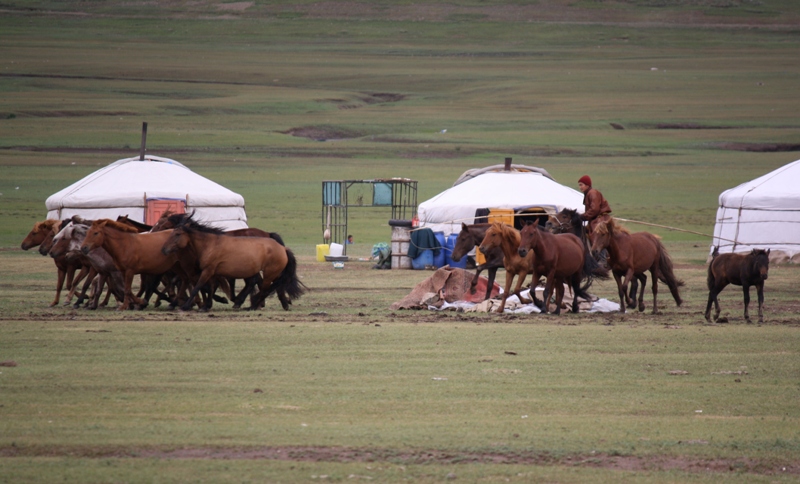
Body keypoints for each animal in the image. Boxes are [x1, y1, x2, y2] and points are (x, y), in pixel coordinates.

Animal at [161, 222, 304, 312]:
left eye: (177, 234)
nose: (163, 249)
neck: (210, 244)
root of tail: (283, 248)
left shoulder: (208, 270)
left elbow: (198, 287)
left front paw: (185, 306)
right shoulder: (212, 272)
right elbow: (209, 288)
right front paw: (206, 306)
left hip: (269, 273)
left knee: (264, 288)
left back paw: (251, 306)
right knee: (270, 287)